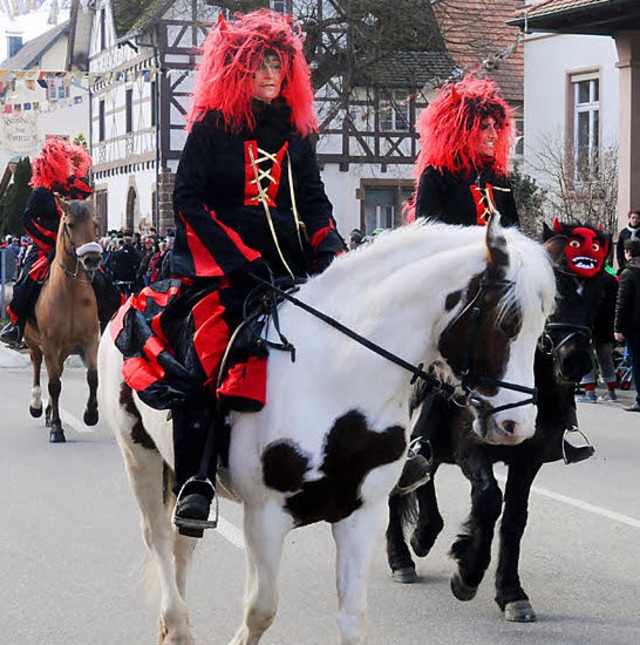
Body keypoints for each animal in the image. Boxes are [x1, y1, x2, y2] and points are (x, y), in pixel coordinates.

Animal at [24, 196, 103, 440]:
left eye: (95, 224)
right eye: (70, 225)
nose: (92, 259)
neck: (69, 290)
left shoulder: (90, 338)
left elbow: (92, 377)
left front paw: (90, 414)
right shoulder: (49, 341)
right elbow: (54, 384)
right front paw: (57, 429)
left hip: (65, 346)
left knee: (57, 369)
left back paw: (50, 411)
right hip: (34, 342)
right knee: (37, 364)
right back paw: (37, 405)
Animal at [99, 218, 556, 644]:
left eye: (543, 330)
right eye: (508, 322)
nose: (518, 425)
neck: (337, 381)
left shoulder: (362, 514)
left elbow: (353, 621)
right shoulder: (265, 515)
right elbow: (260, 609)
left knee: (181, 545)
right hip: (139, 457)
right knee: (158, 539)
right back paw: (176, 625)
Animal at [388, 234, 604, 620]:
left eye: (598, 295)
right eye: (558, 293)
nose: (575, 362)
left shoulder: (528, 459)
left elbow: (515, 518)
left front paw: (511, 592)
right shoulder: (471, 448)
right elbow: (489, 499)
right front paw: (468, 572)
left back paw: (423, 535)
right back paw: (402, 556)